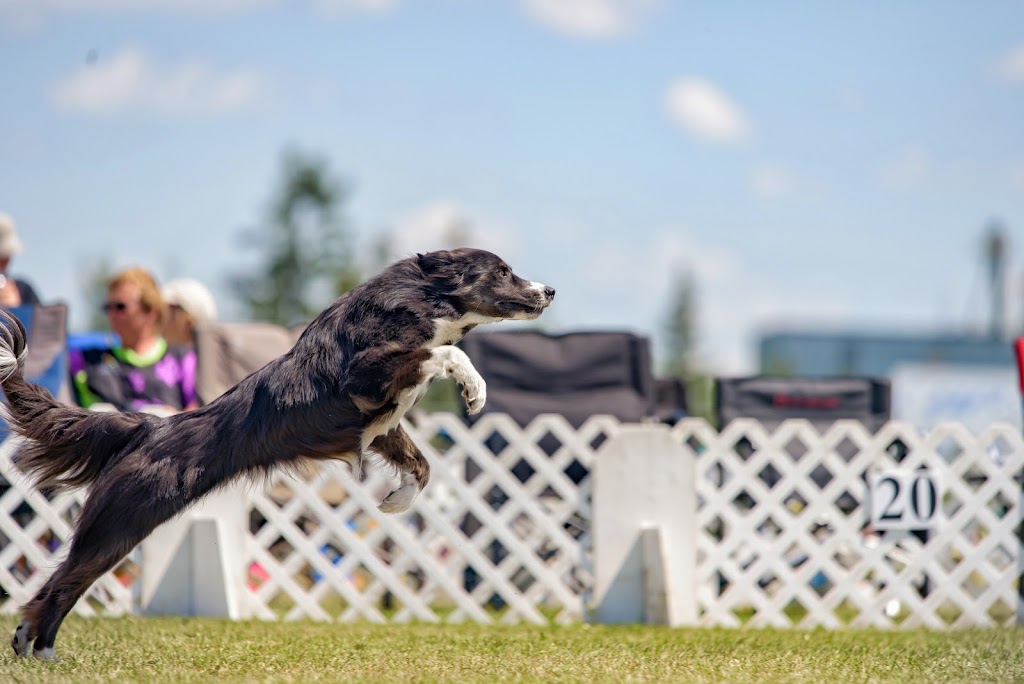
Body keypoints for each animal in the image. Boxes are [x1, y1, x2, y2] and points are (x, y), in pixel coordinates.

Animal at [0, 248, 557, 659]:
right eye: (502, 271)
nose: (550, 289)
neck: (421, 300)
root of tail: (149, 427)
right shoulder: (365, 377)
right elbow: (443, 351)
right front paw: (475, 388)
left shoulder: (380, 423)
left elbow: (420, 463)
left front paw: (395, 502)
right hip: (121, 521)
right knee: (63, 581)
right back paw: (39, 649)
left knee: (64, 582)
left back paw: (36, 648)